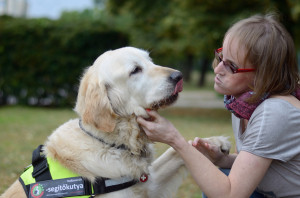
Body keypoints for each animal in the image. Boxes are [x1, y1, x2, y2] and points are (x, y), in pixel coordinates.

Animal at [1, 46, 230, 198]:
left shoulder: (149, 183)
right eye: (135, 70)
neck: (113, 143)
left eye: (150, 61)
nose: (179, 76)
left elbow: (176, 151)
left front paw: (213, 143)